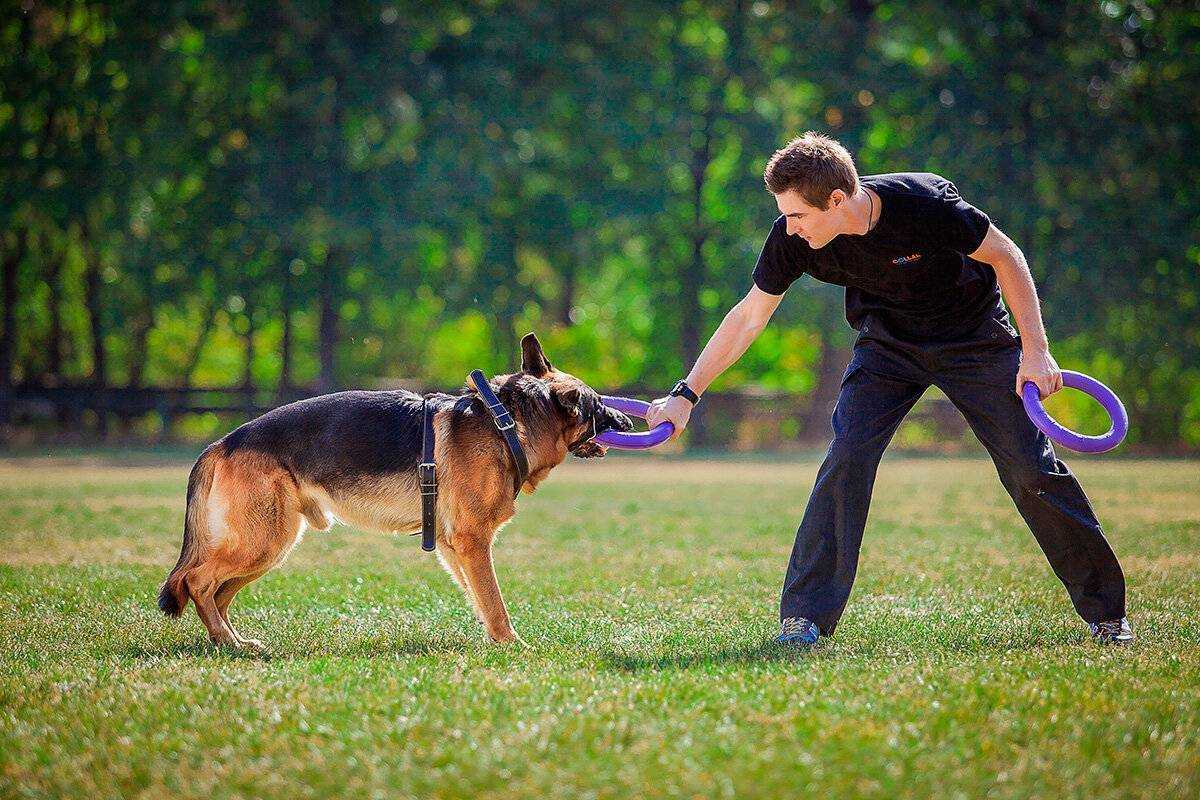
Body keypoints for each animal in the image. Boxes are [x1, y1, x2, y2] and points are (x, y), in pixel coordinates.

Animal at [159, 333, 638, 652]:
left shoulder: (455, 546)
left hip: (268, 545)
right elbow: (494, 599)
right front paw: (513, 645)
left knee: (216, 591)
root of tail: (222, 442)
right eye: (597, 405)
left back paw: (230, 640)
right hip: (264, 541)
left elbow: (481, 598)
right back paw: (228, 641)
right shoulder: (471, 541)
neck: (508, 424)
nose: (629, 420)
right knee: (196, 580)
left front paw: (494, 641)